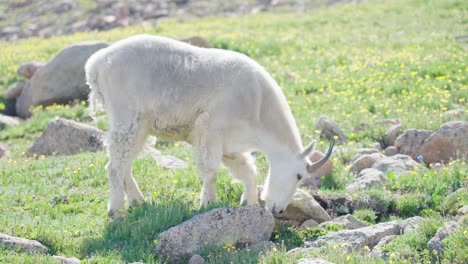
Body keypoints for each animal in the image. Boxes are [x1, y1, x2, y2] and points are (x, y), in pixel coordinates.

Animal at [84, 34, 332, 218]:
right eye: (299, 175)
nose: (278, 209)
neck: (258, 105)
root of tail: (95, 64)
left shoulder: (230, 143)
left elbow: (246, 168)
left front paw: (249, 202)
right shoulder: (210, 128)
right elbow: (211, 169)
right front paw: (208, 204)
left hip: (141, 125)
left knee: (125, 162)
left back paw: (138, 201)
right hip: (127, 116)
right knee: (114, 166)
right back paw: (116, 210)